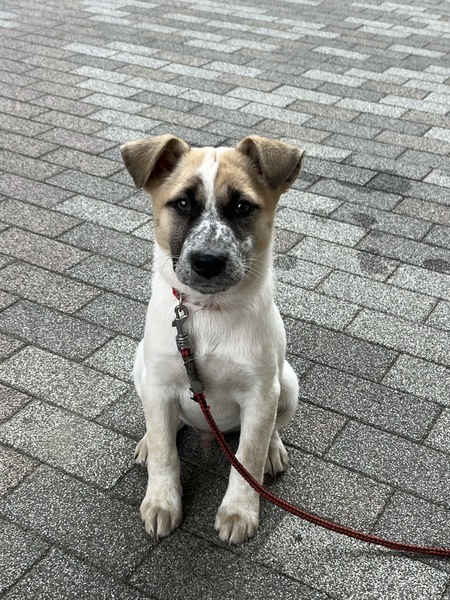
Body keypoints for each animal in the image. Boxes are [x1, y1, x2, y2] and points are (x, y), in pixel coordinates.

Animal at [121, 134, 304, 544]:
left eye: (241, 206)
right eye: (182, 203)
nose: (208, 262)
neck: (209, 312)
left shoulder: (260, 393)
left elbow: (248, 457)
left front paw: (238, 511)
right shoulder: (159, 383)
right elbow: (165, 453)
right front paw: (162, 502)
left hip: (287, 383)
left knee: (271, 431)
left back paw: (273, 451)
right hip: (140, 368)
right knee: (164, 428)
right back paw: (147, 442)